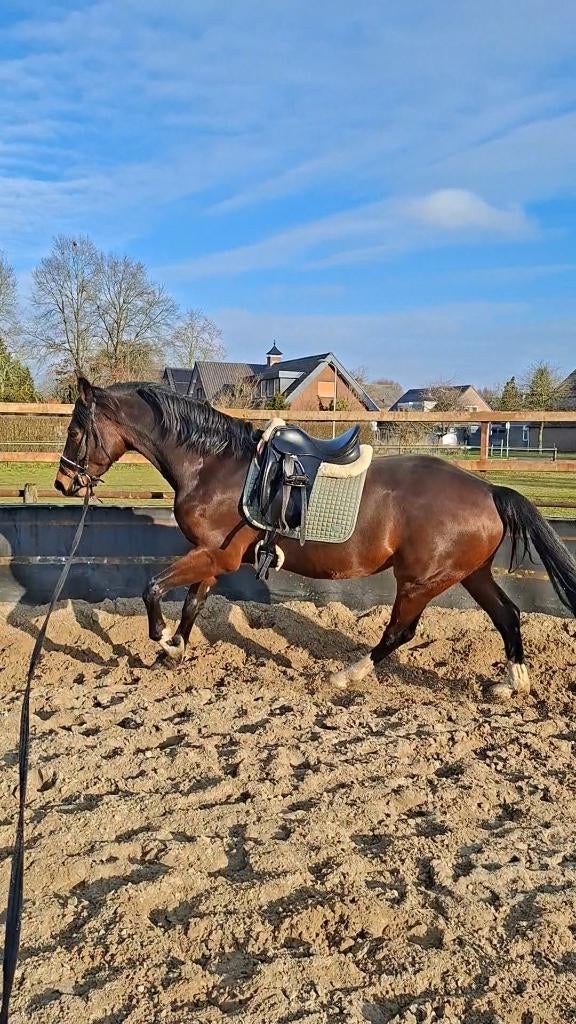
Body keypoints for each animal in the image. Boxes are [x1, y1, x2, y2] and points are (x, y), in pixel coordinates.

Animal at [55, 377, 576, 700]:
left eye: (76, 429)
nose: (63, 482)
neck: (214, 466)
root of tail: (489, 491)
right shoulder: (211, 558)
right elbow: (191, 603)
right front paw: (175, 650)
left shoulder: (216, 556)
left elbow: (155, 589)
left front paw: (163, 641)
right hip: (470, 573)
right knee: (507, 616)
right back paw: (513, 684)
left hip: (421, 580)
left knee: (400, 631)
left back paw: (348, 673)